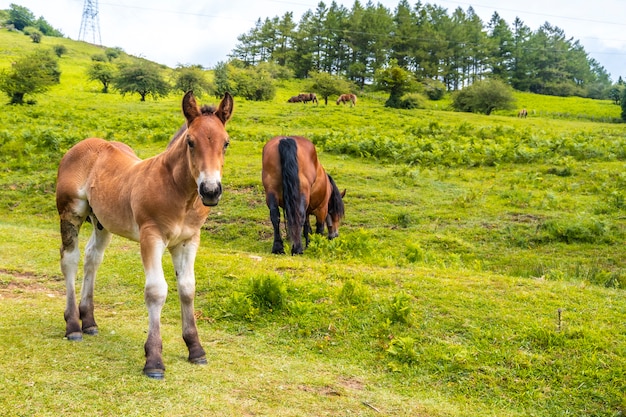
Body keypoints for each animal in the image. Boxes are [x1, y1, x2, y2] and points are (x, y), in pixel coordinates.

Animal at [54, 90, 232, 376]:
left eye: (226, 143)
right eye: (190, 142)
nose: (211, 191)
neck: (178, 192)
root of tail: (82, 145)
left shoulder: (188, 241)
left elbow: (187, 288)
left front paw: (196, 349)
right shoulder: (151, 237)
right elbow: (156, 291)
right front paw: (154, 360)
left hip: (102, 222)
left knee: (93, 258)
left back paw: (89, 321)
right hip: (71, 211)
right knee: (70, 258)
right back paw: (72, 326)